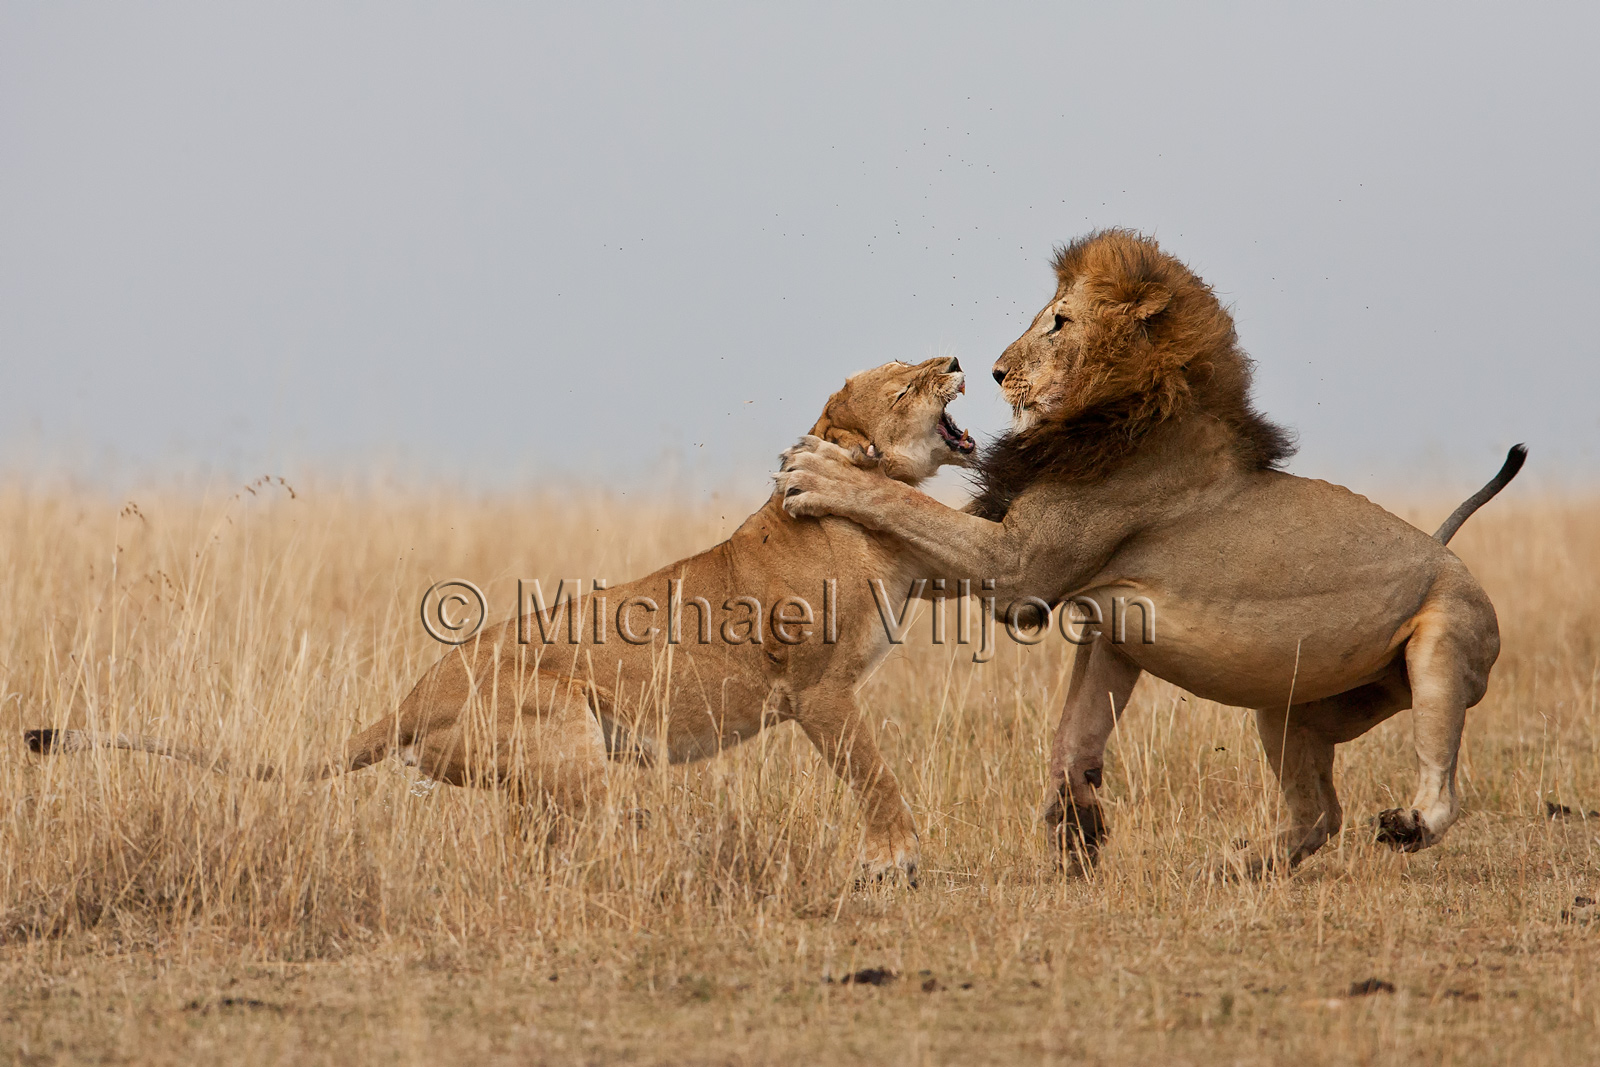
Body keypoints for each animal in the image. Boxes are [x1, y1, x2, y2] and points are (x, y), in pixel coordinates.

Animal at [26, 357, 976, 882]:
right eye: (909, 379)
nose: (961, 359)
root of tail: (415, 693)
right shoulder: (818, 693)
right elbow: (875, 775)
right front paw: (894, 860)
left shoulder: (921, 574)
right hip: (568, 735)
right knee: (598, 830)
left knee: (547, 841)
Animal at [777, 229, 1523, 876]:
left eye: (1059, 322)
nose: (993, 372)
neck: (1117, 412)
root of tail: (1446, 549)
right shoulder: (1109, 624)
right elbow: (1074, 733)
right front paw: (1075, 825)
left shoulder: (1018, 566)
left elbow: (909, 507)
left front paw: (818, 472)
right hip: (1293, 704)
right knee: (1319, 813)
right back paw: (1234, 865)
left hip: (1443, 644)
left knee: (1442, 782)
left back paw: (1408, 824)